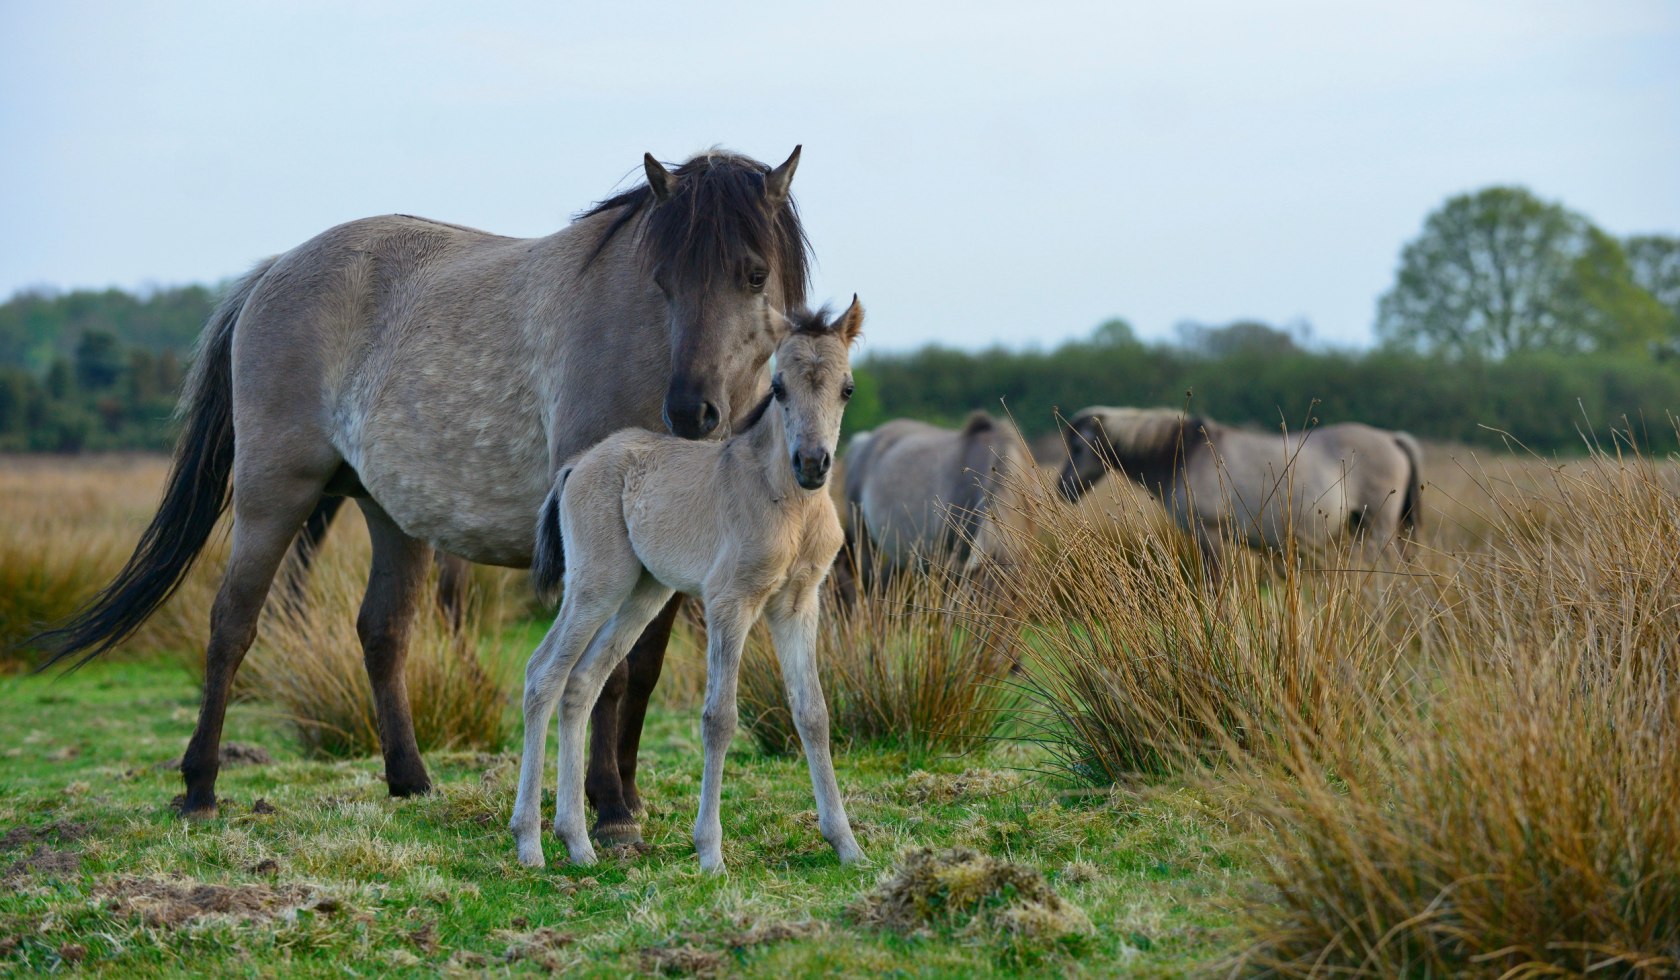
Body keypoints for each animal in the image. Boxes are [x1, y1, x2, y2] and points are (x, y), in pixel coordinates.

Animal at [31, 147, 806, 843]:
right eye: (662, 279)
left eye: (753, 274)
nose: (692, 413)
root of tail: (273, 271)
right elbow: (605, 676)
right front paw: (610, 811)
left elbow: (639, 670)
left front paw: (625, 795)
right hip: (274, 495)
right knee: (233, 623)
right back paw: (199, 787)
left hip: (390, 516)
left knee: (382, 633)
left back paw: (410, 779)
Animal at [510, 300, 866, 874]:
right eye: (779, 387)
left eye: (847, 388)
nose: (813, 464)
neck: (789, 504)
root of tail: (578, 463)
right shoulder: (729, 602)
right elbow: (719, 717)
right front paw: (710, 853)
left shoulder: (797, 604)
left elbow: (813, 713)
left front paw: (847, 845)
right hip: (597, 585)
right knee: (544, 674)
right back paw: (530, 843)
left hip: (644, 593)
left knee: (582, 683)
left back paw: (579, 843)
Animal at [1055, 405, 1424, 574]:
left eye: (1078, 447)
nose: (1062, 489)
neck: (1187, 455)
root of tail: (1392, 438)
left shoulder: (1211, 535)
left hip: (1377, 529)